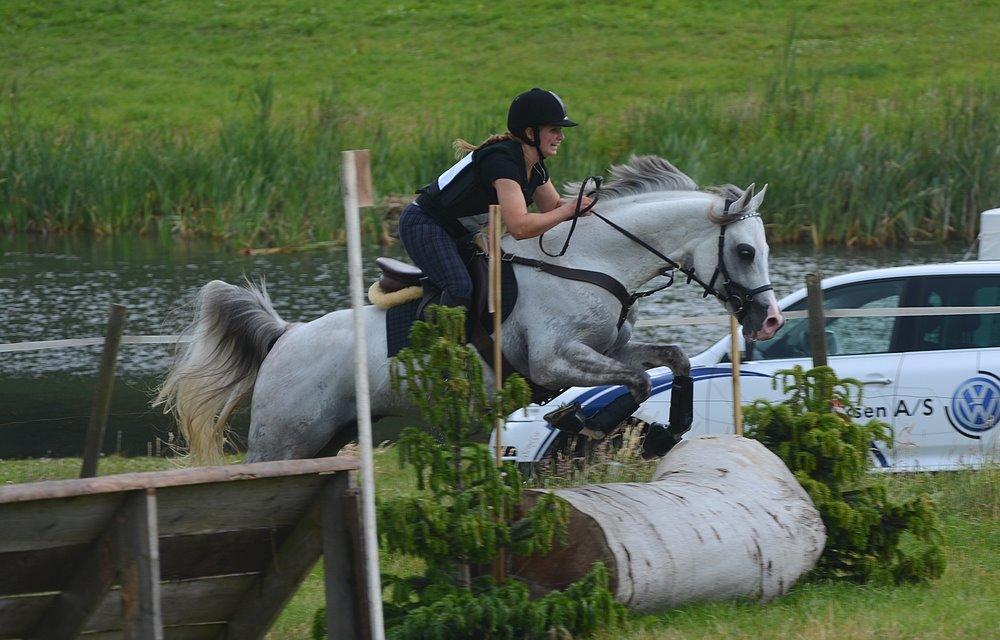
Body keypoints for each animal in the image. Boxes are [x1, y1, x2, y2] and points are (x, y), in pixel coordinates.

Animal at [154, 156, 780, 464]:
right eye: (745, 251)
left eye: (764, 249)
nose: (769, 320)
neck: (592, 262)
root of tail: (284, 338)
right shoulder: (554, 361)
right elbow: (634, 381)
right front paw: (573, 421)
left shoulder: (611, 346)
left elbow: (671, 360)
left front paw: (674, 426)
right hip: (282, 440)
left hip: (323, 439)